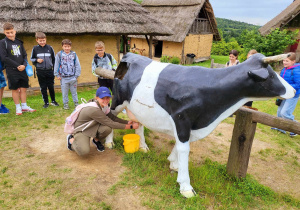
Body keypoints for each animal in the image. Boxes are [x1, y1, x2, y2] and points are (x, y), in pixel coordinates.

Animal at [103, 52, 296, 197]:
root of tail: (129, 54)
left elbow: (181, 145)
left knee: (140, 124)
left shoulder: (194, 125)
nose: (294, 90)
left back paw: (142, 147)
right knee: (110, 116)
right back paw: (109, 142)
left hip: (137, 107)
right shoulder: (181, 117)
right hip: (117, 100)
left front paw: (173, 163)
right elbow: (184, 148)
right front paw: (185, 186)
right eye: (271, 75)